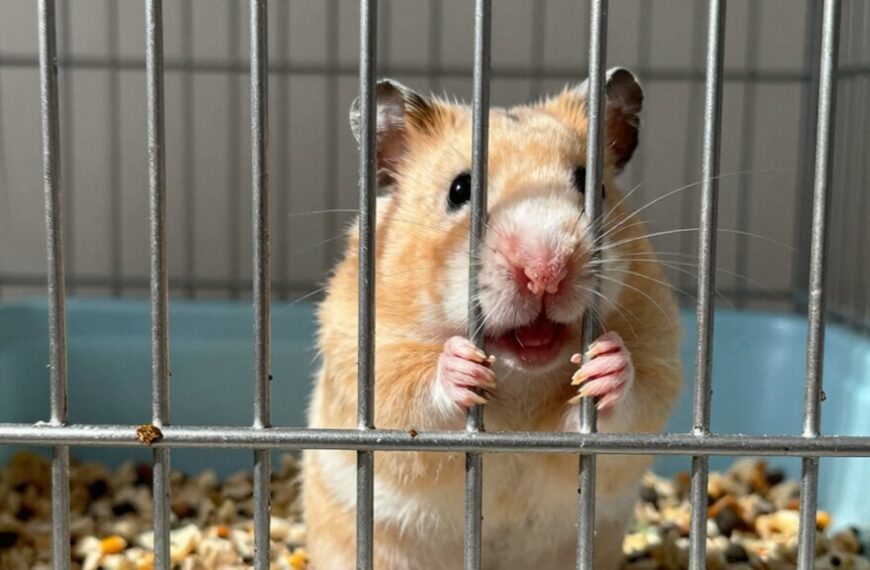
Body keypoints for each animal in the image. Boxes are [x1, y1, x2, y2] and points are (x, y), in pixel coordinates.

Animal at [303, 67, 682, 570]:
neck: (521, 376)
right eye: (459, 190)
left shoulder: (658, 349)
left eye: (592, 185)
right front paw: (462, 366)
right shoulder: (364, 353)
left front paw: (605, 363)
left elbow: (637, 397)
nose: (545, 271)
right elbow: (409, 395)